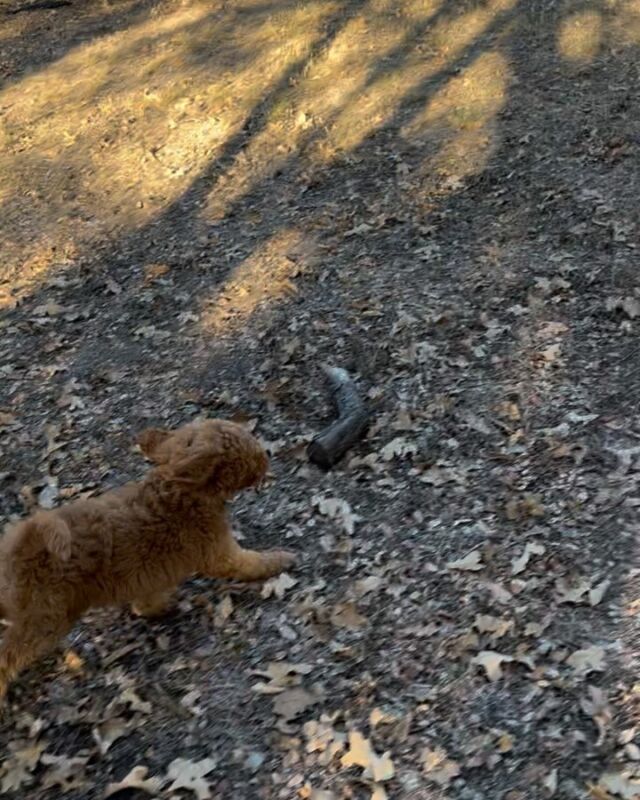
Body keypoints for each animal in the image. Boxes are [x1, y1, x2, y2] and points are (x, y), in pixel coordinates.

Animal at [0, 418, 296, 700]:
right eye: (246, 450)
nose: (266, 457)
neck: (180, 487)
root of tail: (24, 542)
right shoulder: (219, 553)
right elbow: (251, 562)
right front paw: (282, 559)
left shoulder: (151, 576)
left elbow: (146, 603)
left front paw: (160, 608)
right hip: (44, 620)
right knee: (8, 656)